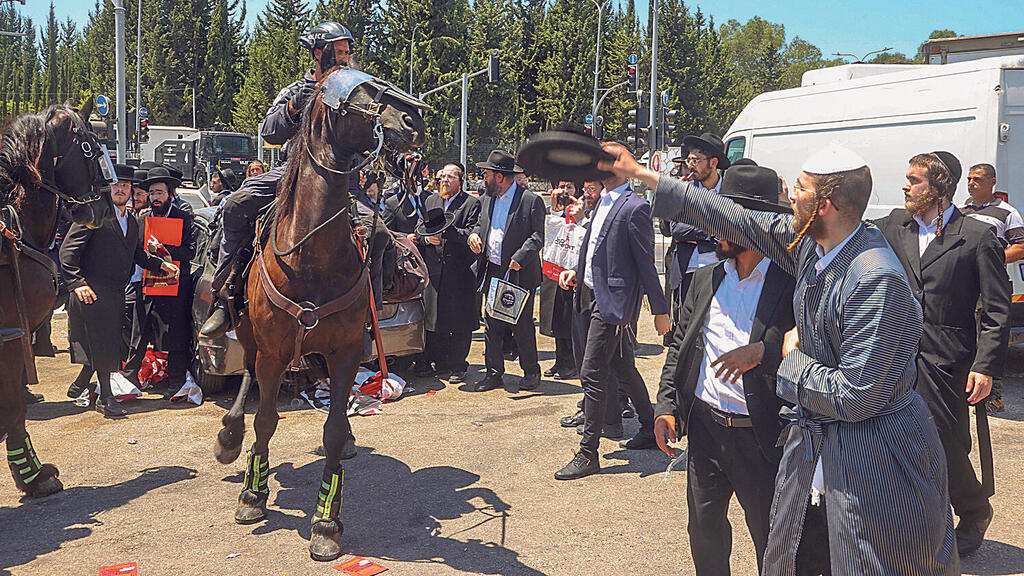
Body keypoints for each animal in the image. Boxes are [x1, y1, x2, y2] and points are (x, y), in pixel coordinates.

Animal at [214, 66, 425, 557]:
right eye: (362, 92)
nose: (414, 120)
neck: (309, 255)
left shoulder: (344, 351)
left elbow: (330, 431)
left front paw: (327, 522)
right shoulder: (273, 352)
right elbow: (266, 419)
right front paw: (252, 493)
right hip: (249, 336)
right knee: (246, 374)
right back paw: (230, 435)